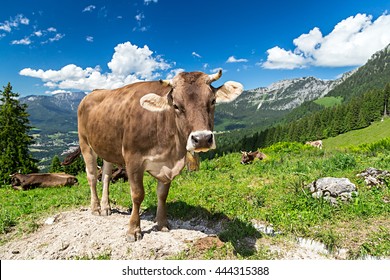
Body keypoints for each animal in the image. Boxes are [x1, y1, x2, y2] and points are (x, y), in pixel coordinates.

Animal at [78, 70, 244, 241]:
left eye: (212, 101)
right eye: (176, 105)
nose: (202, 139)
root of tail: (94, 92)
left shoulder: (167, 166)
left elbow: (163, 194)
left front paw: (162, 223)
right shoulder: (133, 159)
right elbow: (137, 195)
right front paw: (133, 229)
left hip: (107, 147)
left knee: (105, 176)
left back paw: (106, 207)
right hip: (85, 143)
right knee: (92, 176)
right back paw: (96, 207)